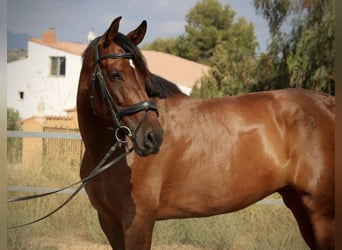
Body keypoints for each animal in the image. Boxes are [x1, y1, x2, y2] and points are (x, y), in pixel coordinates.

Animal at [77, 18, 334, 250]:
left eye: (143, 76)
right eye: (115, 75)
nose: (153, 137)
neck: (111, 154)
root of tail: (327, 104)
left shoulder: (137, 221)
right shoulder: (109, 221)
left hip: (323, 213)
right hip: (299, 204)